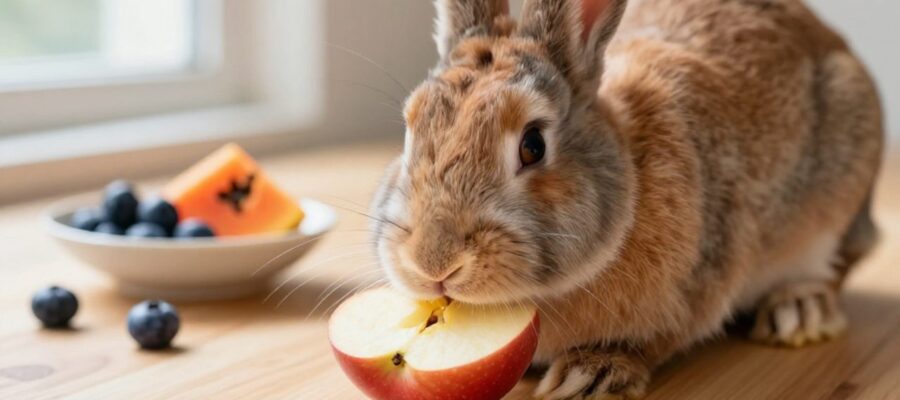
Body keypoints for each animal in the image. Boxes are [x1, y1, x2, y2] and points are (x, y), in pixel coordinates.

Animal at [369, 0, 884, 398]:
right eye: (410, 131)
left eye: (533, 145)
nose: (433, 262)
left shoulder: (701, 278)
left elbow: (655, 339)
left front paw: (589, 374)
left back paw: (799, 311)